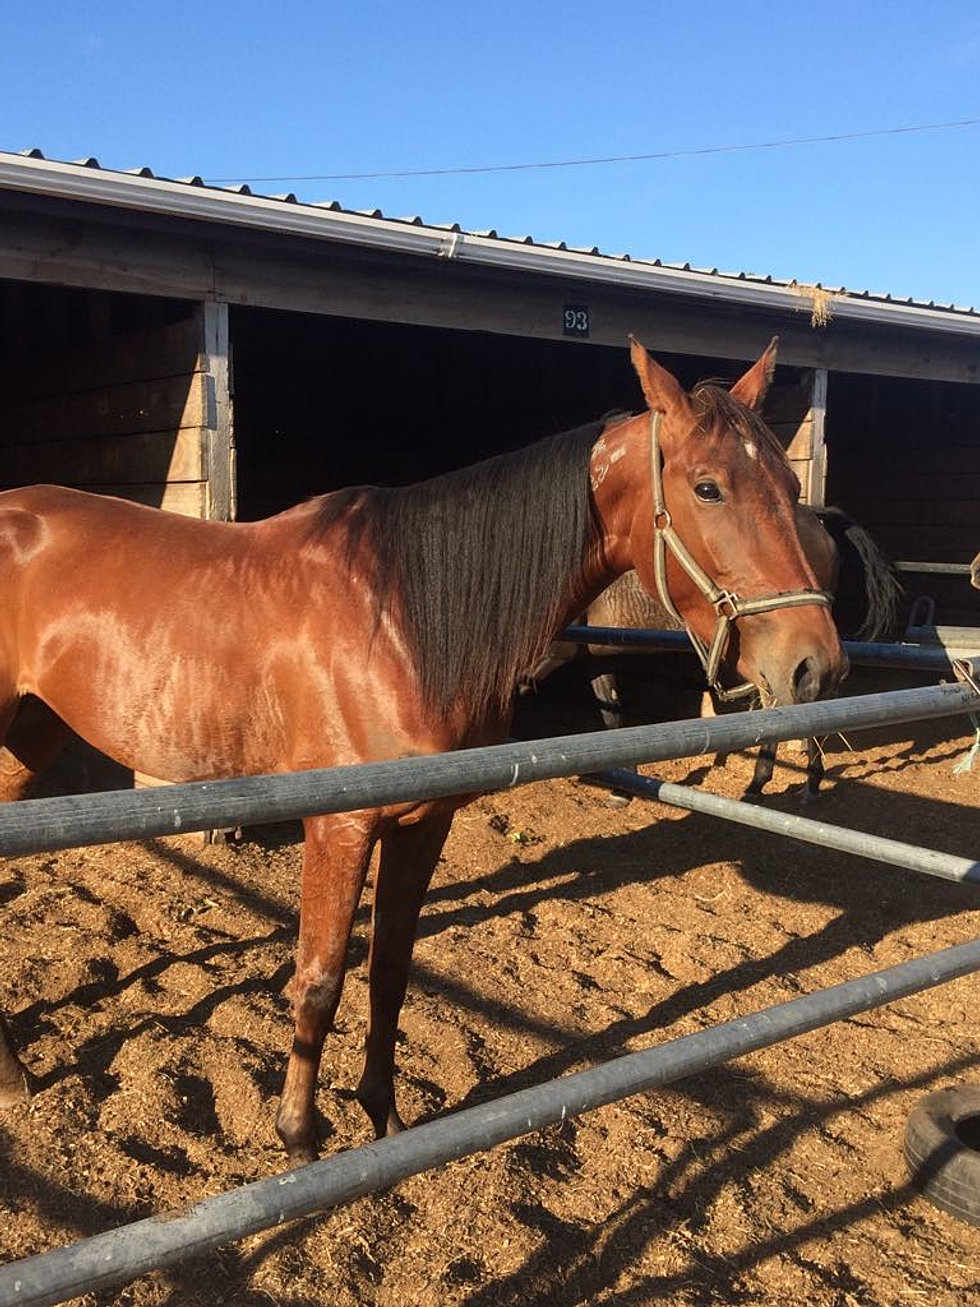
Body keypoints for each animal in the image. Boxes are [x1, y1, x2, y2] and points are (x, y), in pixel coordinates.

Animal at [0, 337, 845, 1164]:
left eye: (785, 484)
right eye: (708, 488)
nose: (816, 664)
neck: (402, 618)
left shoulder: (422, 821)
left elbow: (390, 969)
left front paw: (383, 1114)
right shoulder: (338, 828)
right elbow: (319, 979)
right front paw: (299, 1135)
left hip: (30, 737)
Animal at [527, 506, 902, 800]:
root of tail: (816, 517)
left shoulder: (549, 656)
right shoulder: (593, 657)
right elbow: (613, 716)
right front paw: (623, 786)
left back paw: (776, 784)